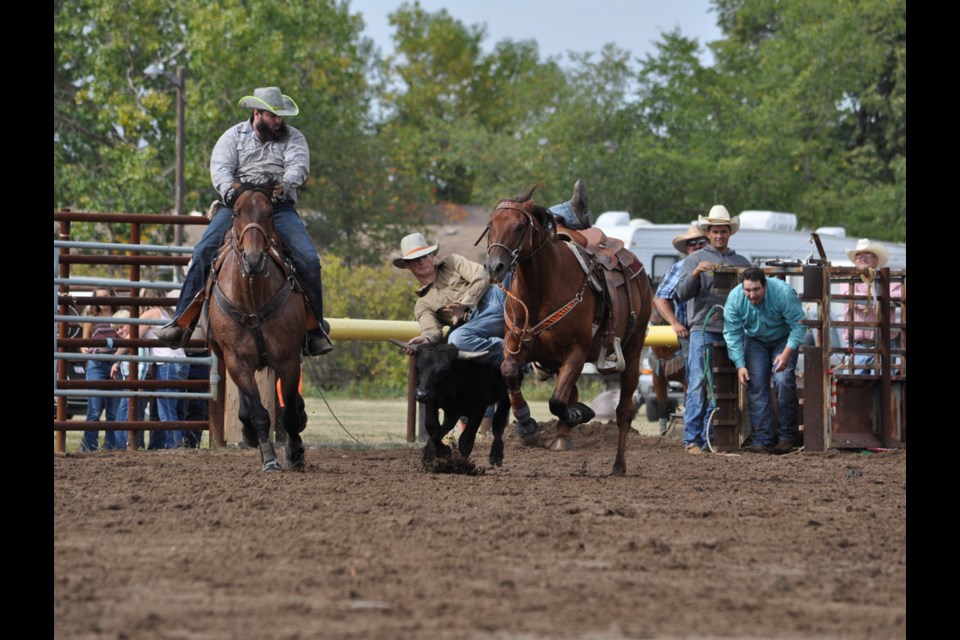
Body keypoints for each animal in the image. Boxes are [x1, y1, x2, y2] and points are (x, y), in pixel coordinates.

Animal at [207, 182, 308, 472]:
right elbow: (260, 413)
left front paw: (295, 452)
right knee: (246, 404)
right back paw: (249, 432)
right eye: (236, 213)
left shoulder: (288, 359)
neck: (252, 296)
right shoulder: (237, 361)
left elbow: (290, 414)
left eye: (270, 213)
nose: (253, 259)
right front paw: (270, 459)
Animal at [484, 185, 656, 476]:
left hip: (632, 354)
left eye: (519, 226)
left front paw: (578, 414)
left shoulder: (577, 351)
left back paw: (618, 465)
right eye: (491, 225)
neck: (541, 291)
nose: (494, 266)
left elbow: (557, 402)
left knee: (623, 411)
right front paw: (527, 427)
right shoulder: (517, 346)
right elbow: (509, 374)